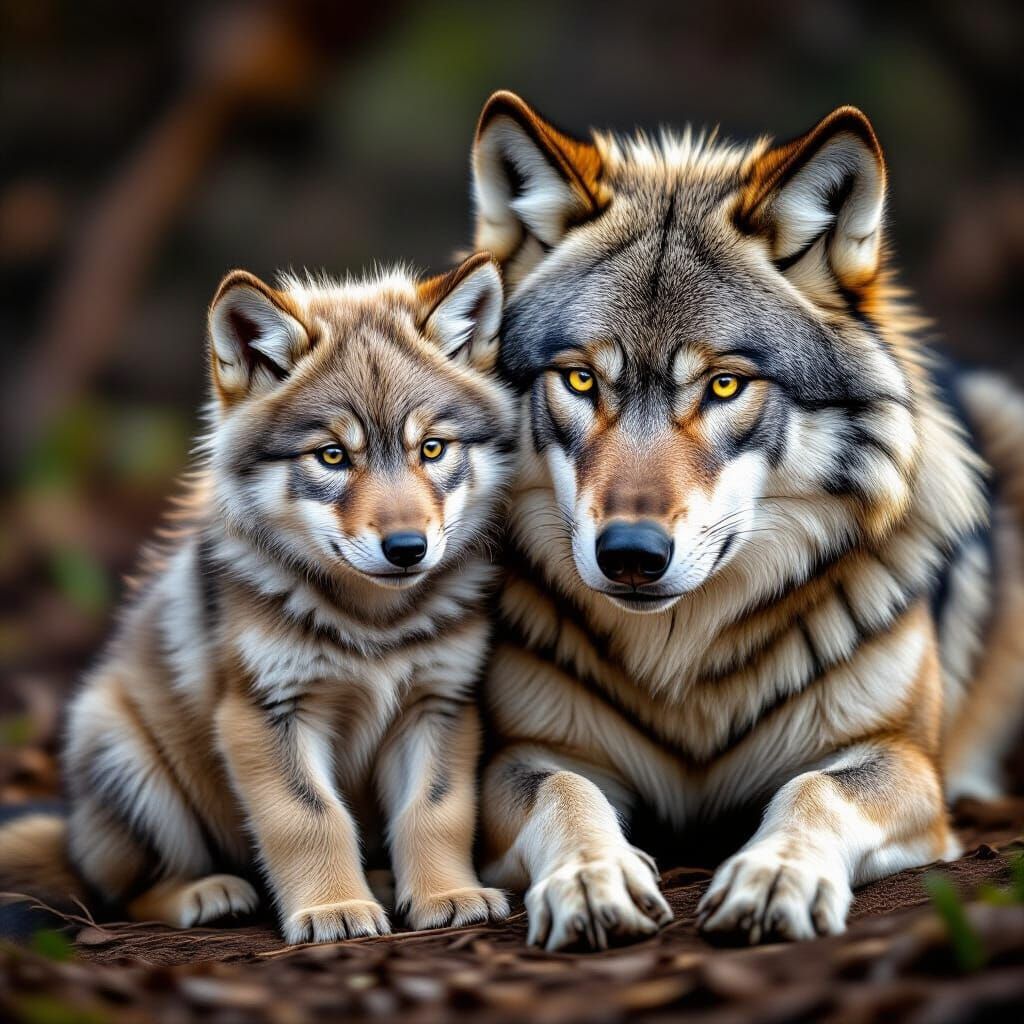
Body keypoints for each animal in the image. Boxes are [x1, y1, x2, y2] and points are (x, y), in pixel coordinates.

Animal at [0, 254, 516, 943]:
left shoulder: (440, 703)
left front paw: (448, 895)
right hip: (126, 762)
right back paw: (210, 893)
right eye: (332, 456)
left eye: (431, 448)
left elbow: (435, 812)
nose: (408, 548)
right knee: (124, 892)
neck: (373, 623)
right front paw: (333, 909)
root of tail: (73, 836)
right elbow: (310, 817)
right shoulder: (266, 712)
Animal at [470, 91, 1024, 950]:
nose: (631, 554)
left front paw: (775, 876)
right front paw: (592, 879)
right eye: (581, 379)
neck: (682, 670)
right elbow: (565, 792)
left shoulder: (899, 760)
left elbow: (812, 793)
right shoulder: (521, 757)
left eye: (725, 385)